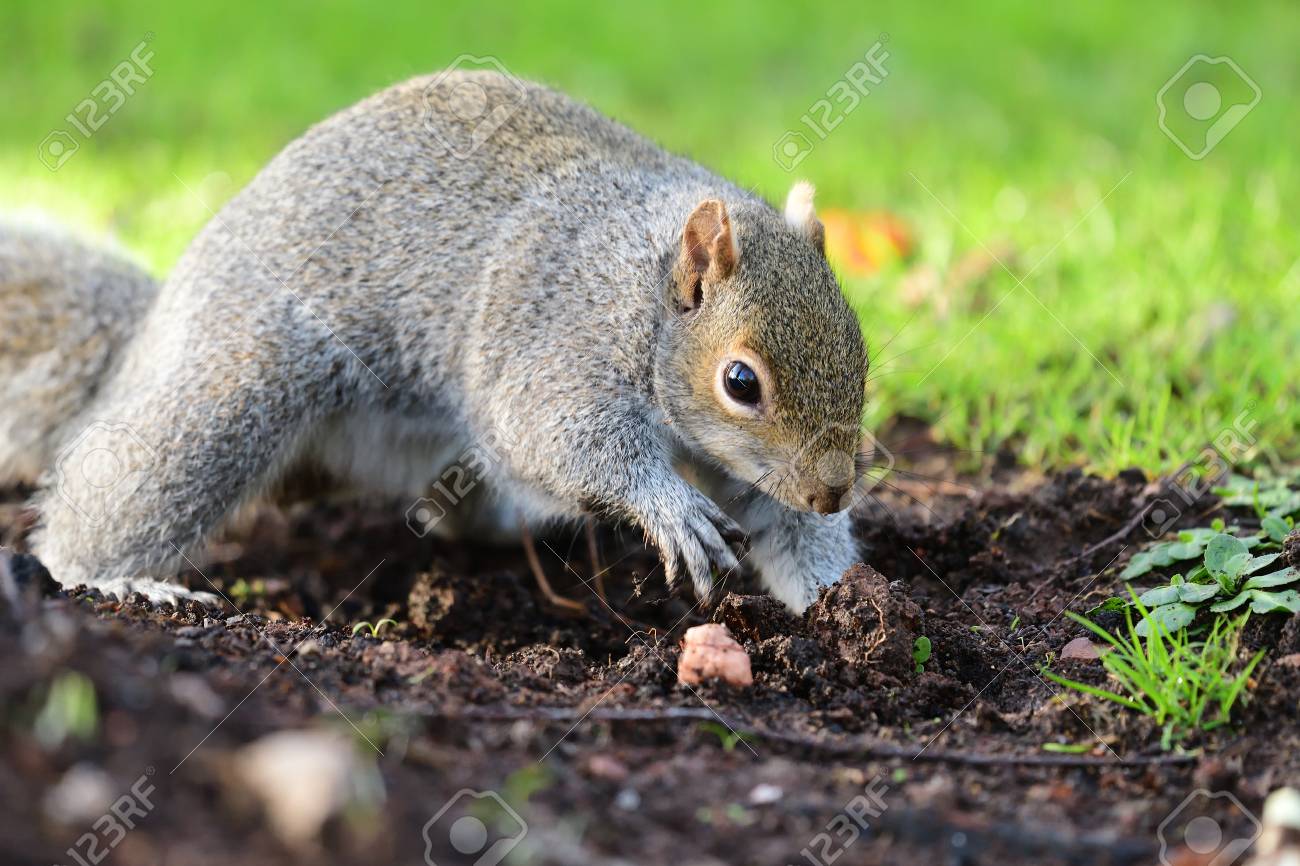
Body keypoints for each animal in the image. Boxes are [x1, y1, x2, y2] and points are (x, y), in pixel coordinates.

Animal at [13, 70, 870, 613]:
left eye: (861, 354)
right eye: (740, 382)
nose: (834, 489)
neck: (644, 292)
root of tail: (155, 327)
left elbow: (782, 524)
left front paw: (838, 599)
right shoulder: (560, 334)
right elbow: (556, 433)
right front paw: (668, 508)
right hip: (246, 378)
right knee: (125, 481)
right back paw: (112, 579)